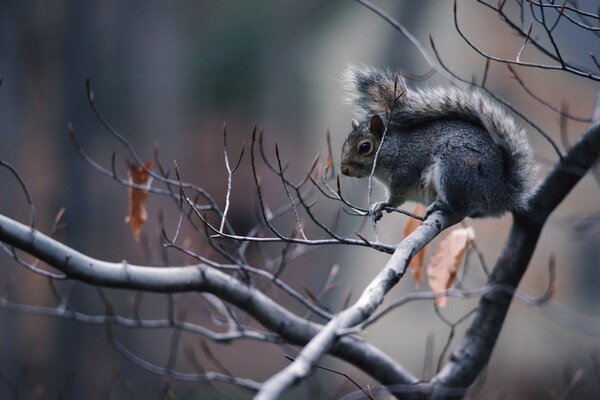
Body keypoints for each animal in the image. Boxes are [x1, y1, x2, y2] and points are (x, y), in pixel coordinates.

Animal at [340, 66, 536, 222]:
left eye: (365, 147)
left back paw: (442, 206)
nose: (344, 170)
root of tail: (498, 192)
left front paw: (382, 203)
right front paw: (378, 207)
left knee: (461, 207)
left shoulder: (405, 170)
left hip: (455, 167)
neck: (394, 149)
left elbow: (396, 199)